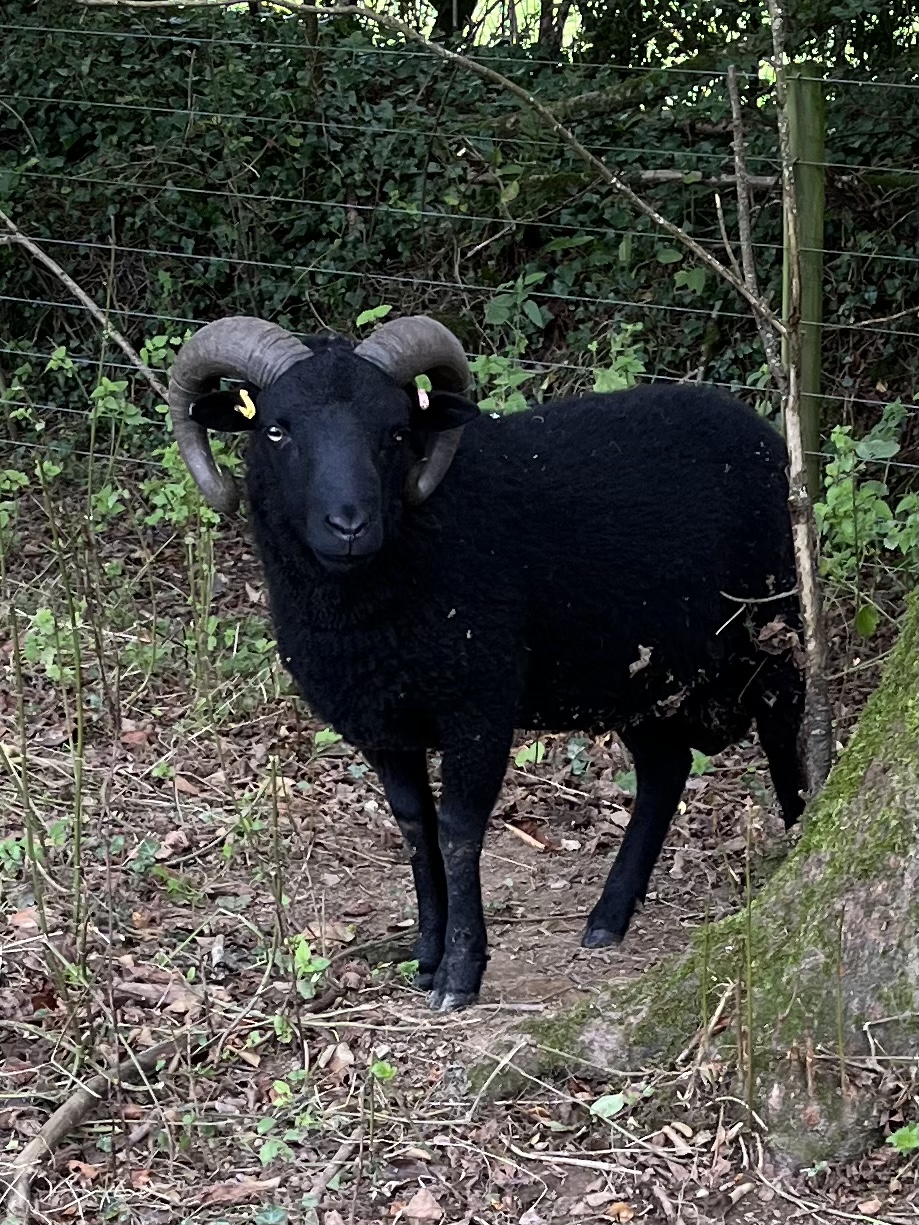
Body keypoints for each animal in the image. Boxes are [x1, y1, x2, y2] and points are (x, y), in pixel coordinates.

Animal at [169, 313, 803, 1014]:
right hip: (637, 674)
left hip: (771, 629)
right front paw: (426, 953)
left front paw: (459, 973)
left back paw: (801, 839)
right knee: (666, 771)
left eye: (396, 433)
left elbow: (459, 830)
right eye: (276, 430)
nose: (349, 526)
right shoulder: (383, 726)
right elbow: (415, 829)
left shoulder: (479, 706)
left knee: (786, 738)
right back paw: (608, 917)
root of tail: (760, 431)